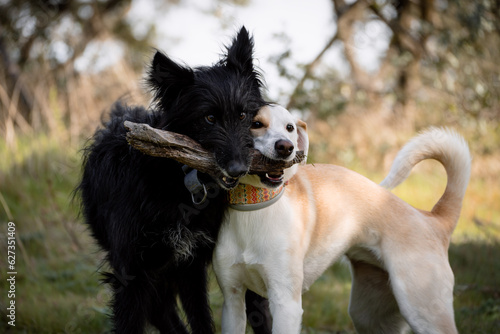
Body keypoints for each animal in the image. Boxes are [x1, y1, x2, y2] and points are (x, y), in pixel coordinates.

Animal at [78, 27, 272, 332]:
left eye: (243, 114)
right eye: (209, 118)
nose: (239, 169)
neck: (180, 184)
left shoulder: (190, 265)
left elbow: (202, 319)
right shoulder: (132, 272)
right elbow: (129, 321)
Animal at [213, 104, 470, 334]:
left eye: (289, 127)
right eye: (256, 124)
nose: (286, 147)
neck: (254, 206)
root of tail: (432, 218)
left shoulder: (286, 303)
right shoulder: (232, 301)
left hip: (423, 309)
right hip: (370, 315)